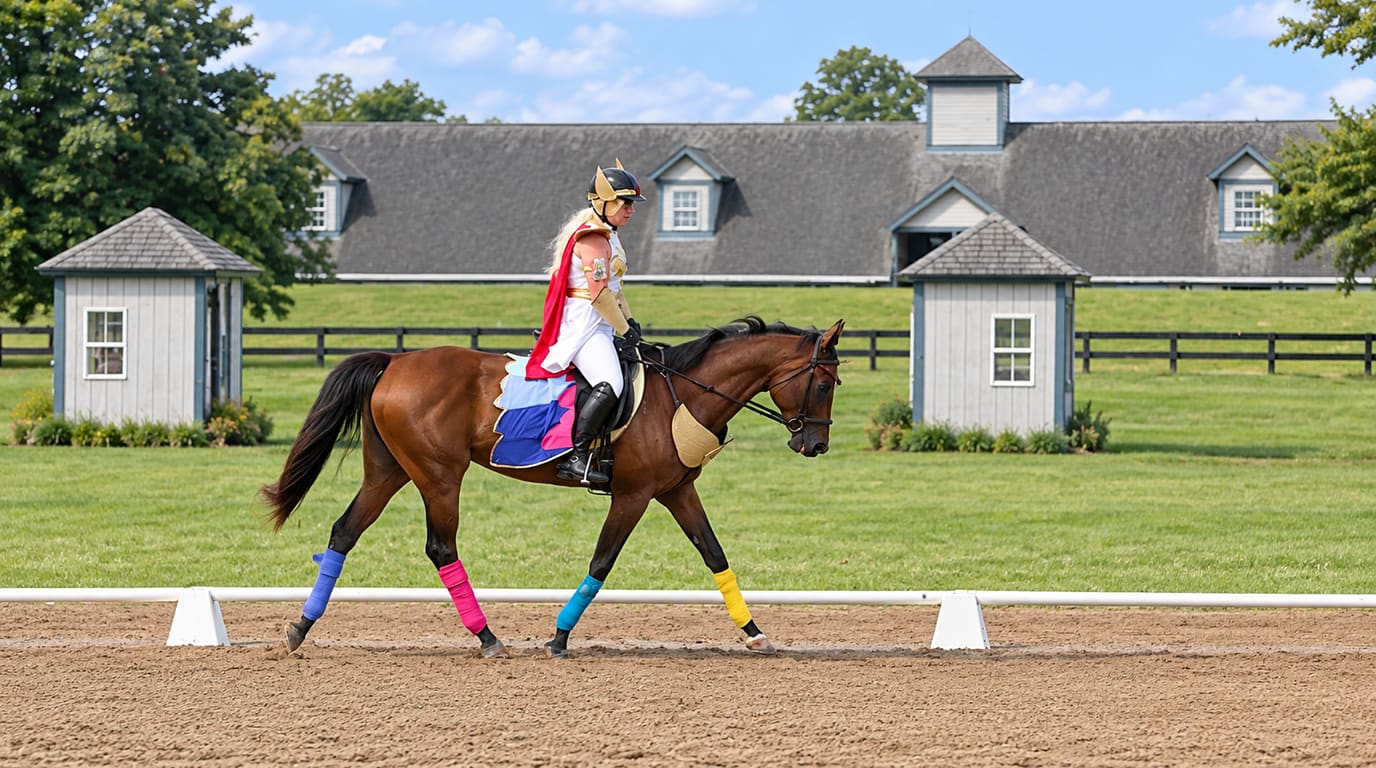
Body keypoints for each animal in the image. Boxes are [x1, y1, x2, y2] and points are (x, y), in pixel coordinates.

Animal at [259, 316, 844, 658]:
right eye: (823, 382)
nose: (816, 445)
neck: (681, 394)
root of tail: (395, 361)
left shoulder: (677, 491)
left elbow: (714, 554)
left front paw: (754, 631)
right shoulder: (633, 495)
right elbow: (602, 562)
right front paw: (559, 636)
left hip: (390, 471)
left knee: (344, 531)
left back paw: (300, 628)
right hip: (440, 475)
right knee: (440, 546)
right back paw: (488, 637)